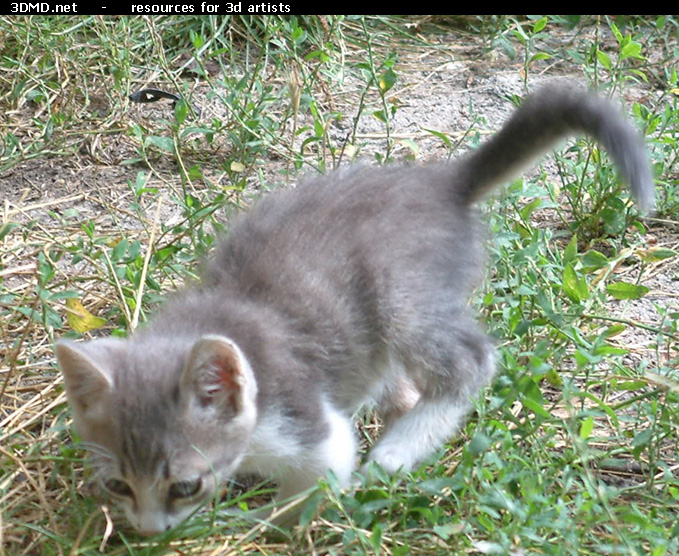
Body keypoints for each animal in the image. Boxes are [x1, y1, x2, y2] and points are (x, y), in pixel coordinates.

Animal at [54, 86, 652, 536]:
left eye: (185, 485)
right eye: (117, 484)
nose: (148, 531)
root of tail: (440, 183)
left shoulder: (306, 422)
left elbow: (319, 476)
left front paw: (264, 527)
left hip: (399, 294)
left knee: (471, 361)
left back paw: (396, 452)